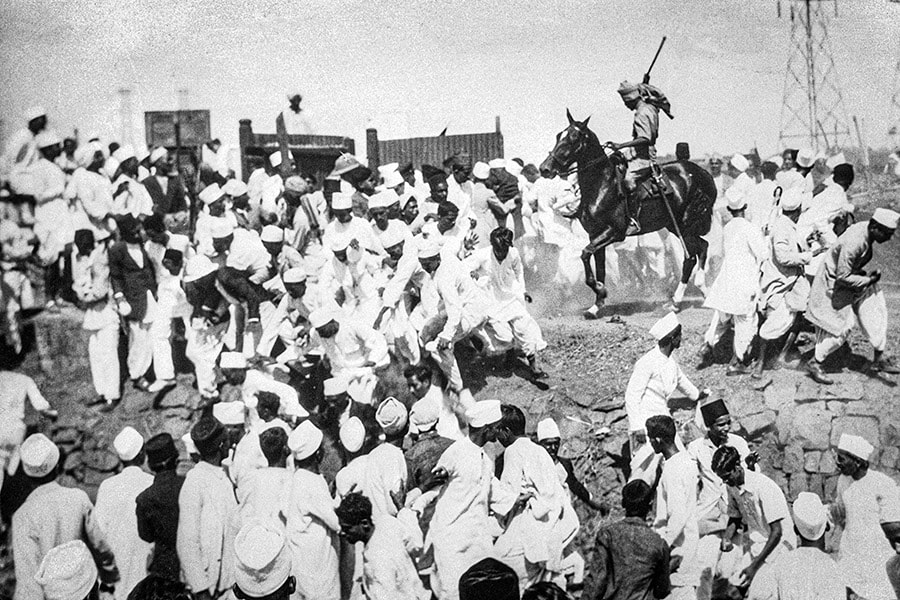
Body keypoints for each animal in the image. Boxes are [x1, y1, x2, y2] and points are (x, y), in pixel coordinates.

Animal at [540, 111, 716, 318]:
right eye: (559, 136)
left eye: (574, 137)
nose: (545, 168)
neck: (602, 185)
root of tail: (705, 174)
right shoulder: (595, 234)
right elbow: (599, 267)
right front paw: (597, 304)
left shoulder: (614, 232)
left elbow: (585, 254)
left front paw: (600, 290)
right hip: (675, 225)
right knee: (703, 247)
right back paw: (703, 290)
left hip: (685, 225)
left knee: (690, 258)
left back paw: (675, 302)